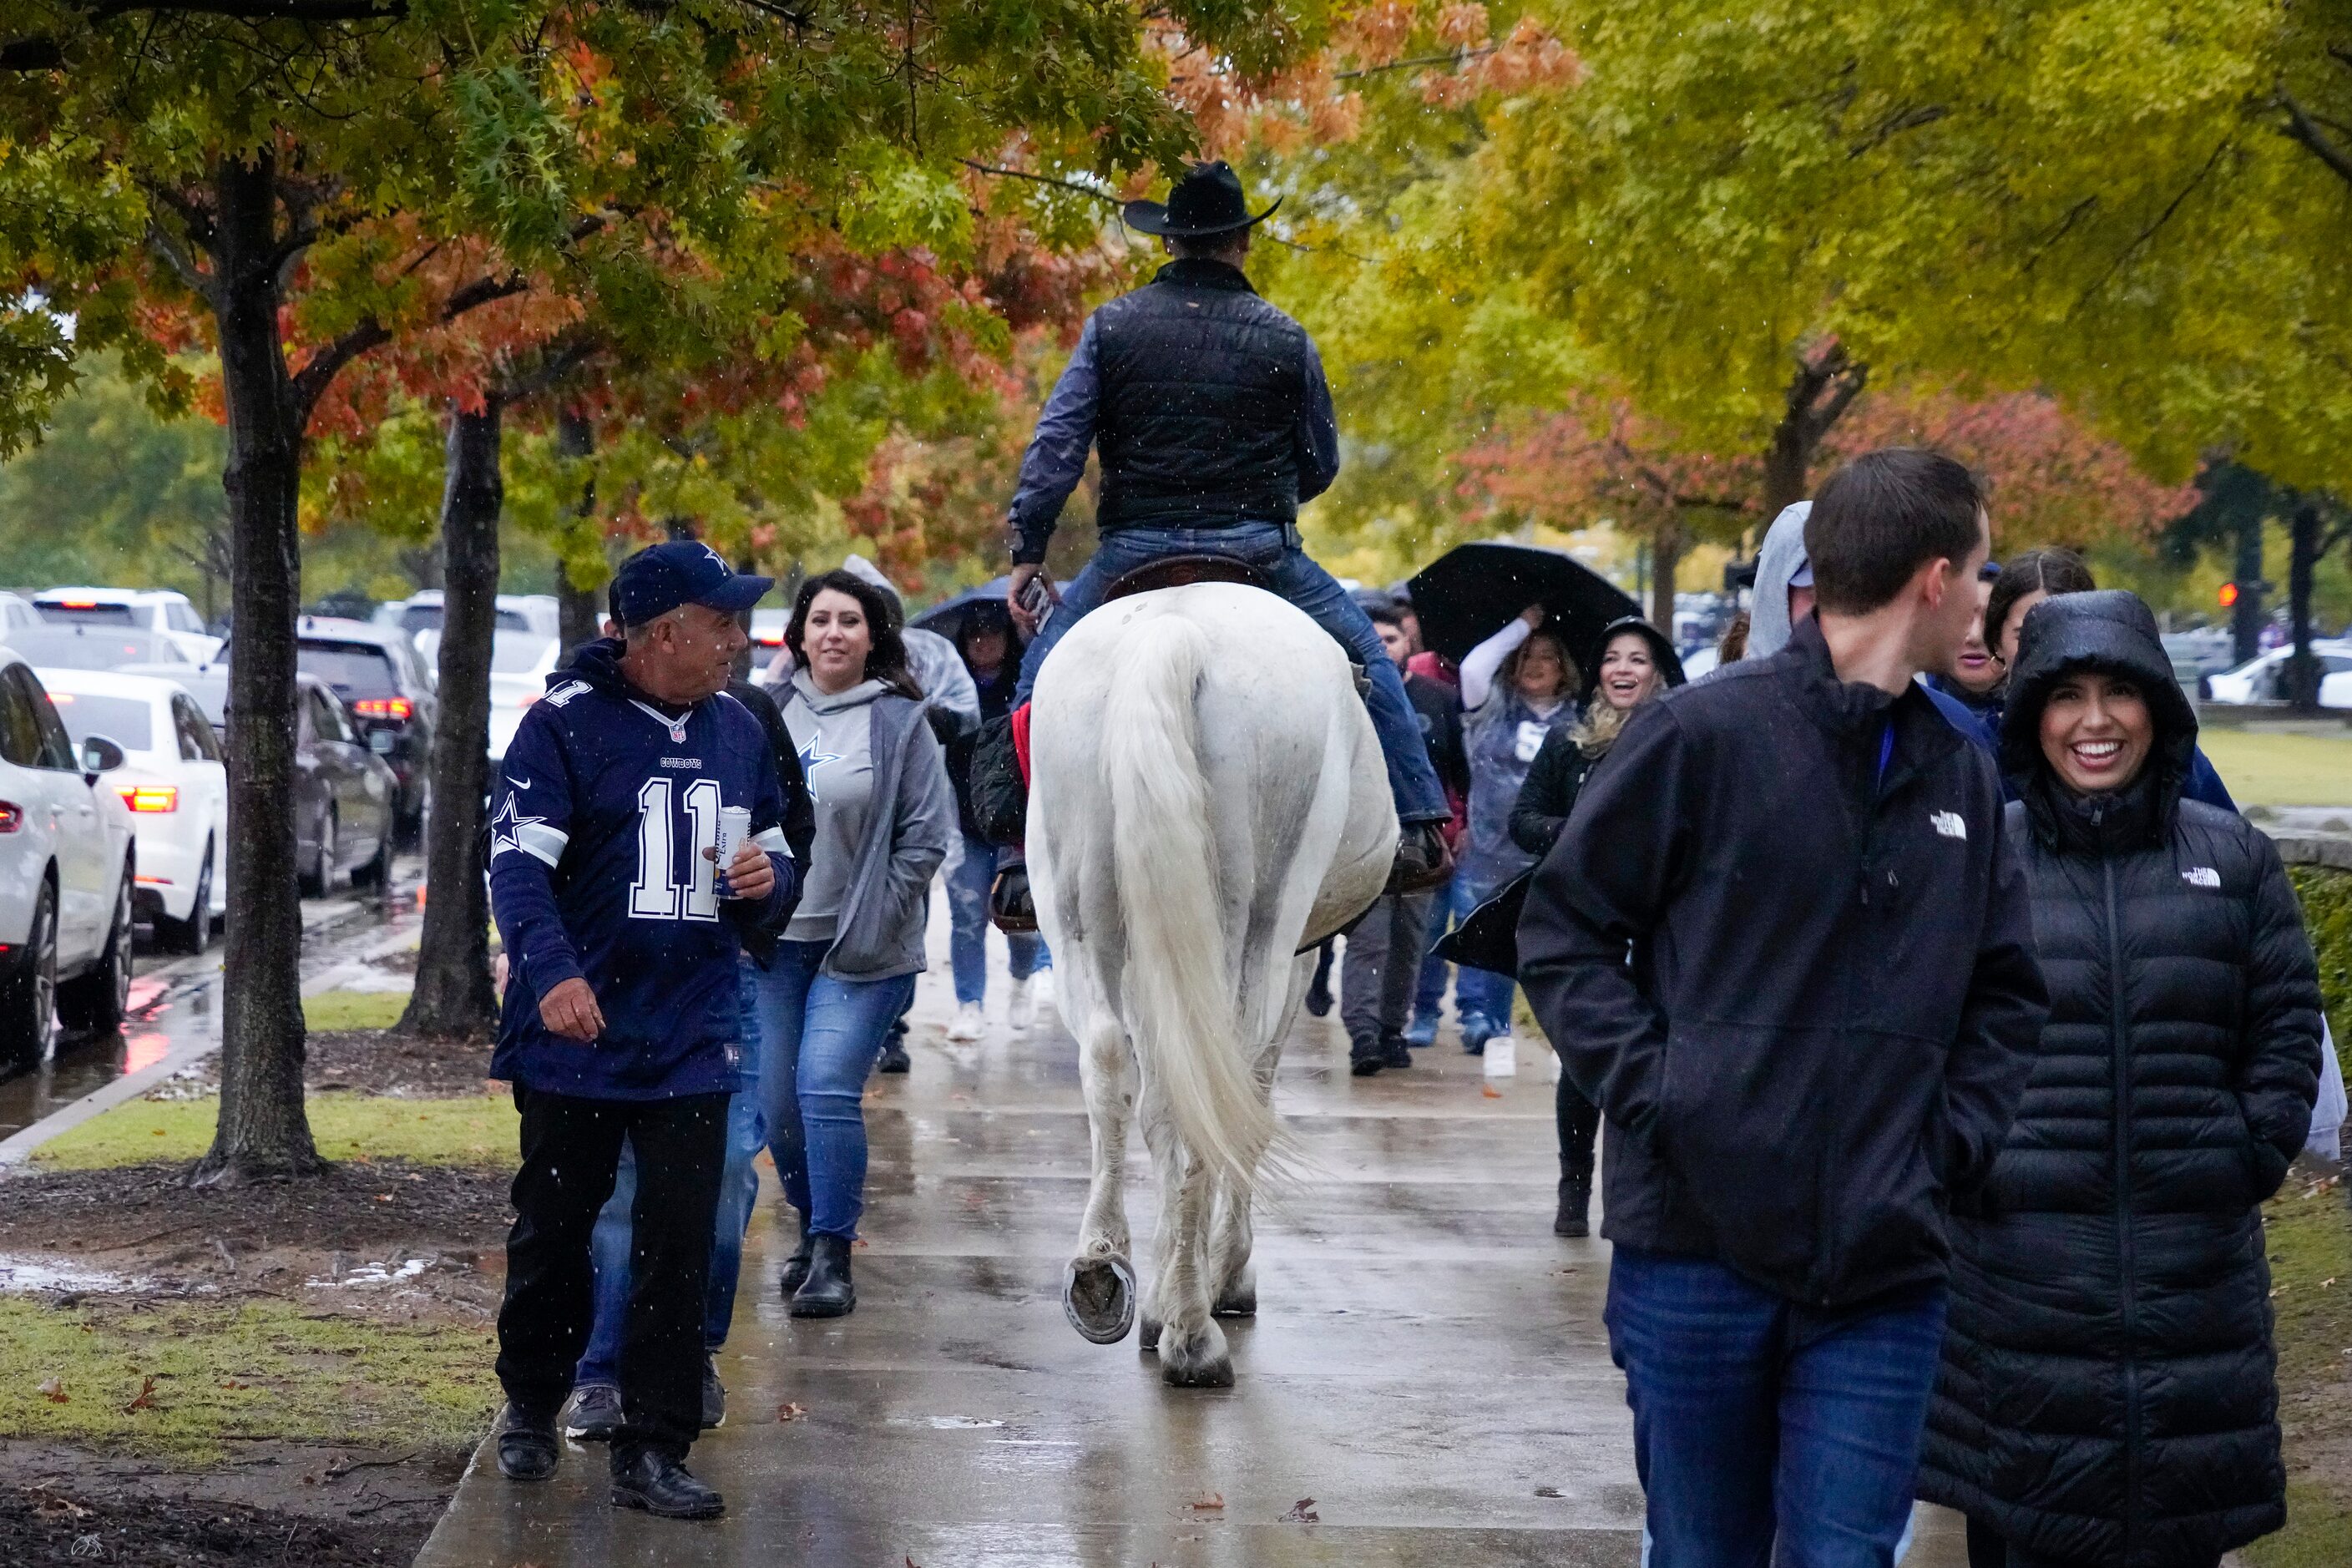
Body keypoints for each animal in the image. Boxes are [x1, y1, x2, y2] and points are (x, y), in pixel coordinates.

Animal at [1029, 585, 1392, 1382]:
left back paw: (1102, 1271)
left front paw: (1158, 1294)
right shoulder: (1294, 959)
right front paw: (1218, 1279)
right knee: (1212, 1092)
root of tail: (1174, 630)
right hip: (1257, 922)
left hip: (1077, 910)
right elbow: (1241, 1106)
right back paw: (1195, 1332)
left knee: (1110, 1062)